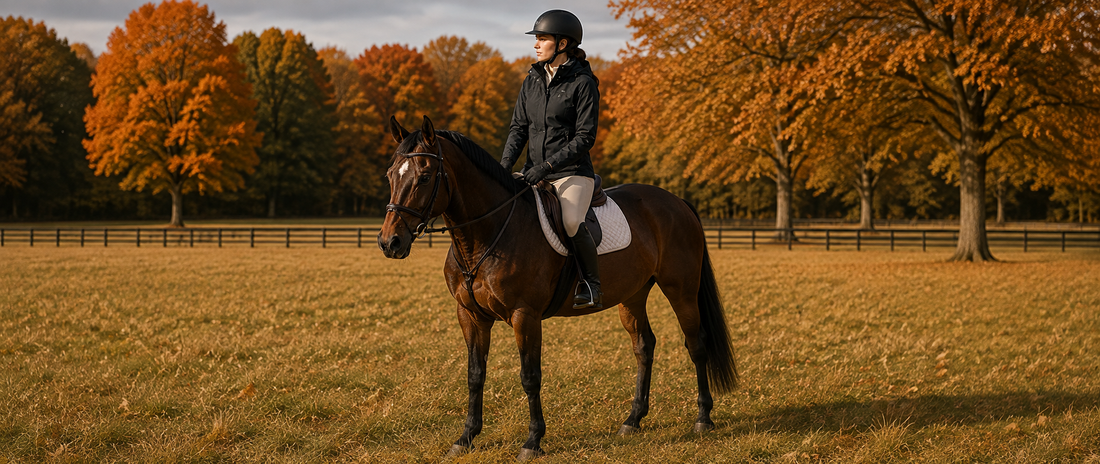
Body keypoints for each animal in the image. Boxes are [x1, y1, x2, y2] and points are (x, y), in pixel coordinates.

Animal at [377, 116, 737, 461]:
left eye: (425, 177)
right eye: (391, 175)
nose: (389, 242)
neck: (485, 235)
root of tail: (676, 200)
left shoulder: (525, 316)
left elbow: (530, 376)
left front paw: (532, 441)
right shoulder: (470, 315)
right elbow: (475, 374)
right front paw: (465, 438)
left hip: (681, 290)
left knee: (696, 344)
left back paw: (703, 418)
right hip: (632, 297)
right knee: (644, 346)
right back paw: (632, 420)